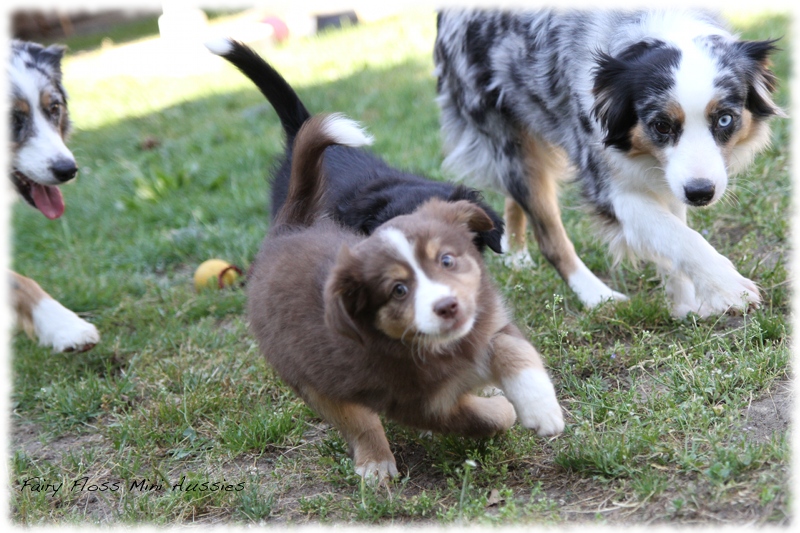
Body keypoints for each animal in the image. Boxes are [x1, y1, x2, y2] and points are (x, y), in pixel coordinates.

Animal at [247, 114, 564, 480]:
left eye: (447, 259)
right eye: (397, 289)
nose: (448, 306)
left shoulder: (485, 327)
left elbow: (512, 348)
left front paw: (540, 408)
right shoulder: (415, 399)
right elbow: (483, 415)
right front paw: (502, 407)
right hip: (311, 377)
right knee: (356, 421)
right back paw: (375, 463)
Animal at [434, 8, 784, 316]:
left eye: (725, 119)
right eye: (661, 125)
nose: (701, 193)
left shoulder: (670, 174)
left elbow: (672, 228)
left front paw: (685, 303)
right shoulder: (607, 181)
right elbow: (678, 235)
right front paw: (728, 288)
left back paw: (515, 254)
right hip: (506, 135)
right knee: (549, 236)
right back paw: (597, 297)